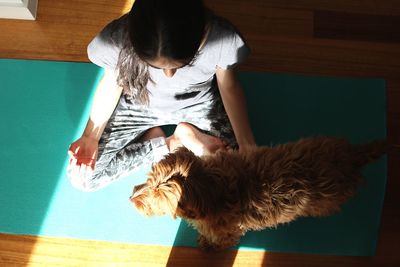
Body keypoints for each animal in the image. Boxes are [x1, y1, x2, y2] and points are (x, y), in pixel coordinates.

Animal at [130, 137, 386, 252]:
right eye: (150, 177)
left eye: (160, 198)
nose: (132, 199)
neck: (212, 186)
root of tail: (351, 158)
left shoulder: (227, 233)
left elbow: (220, 241)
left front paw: (207, 245)